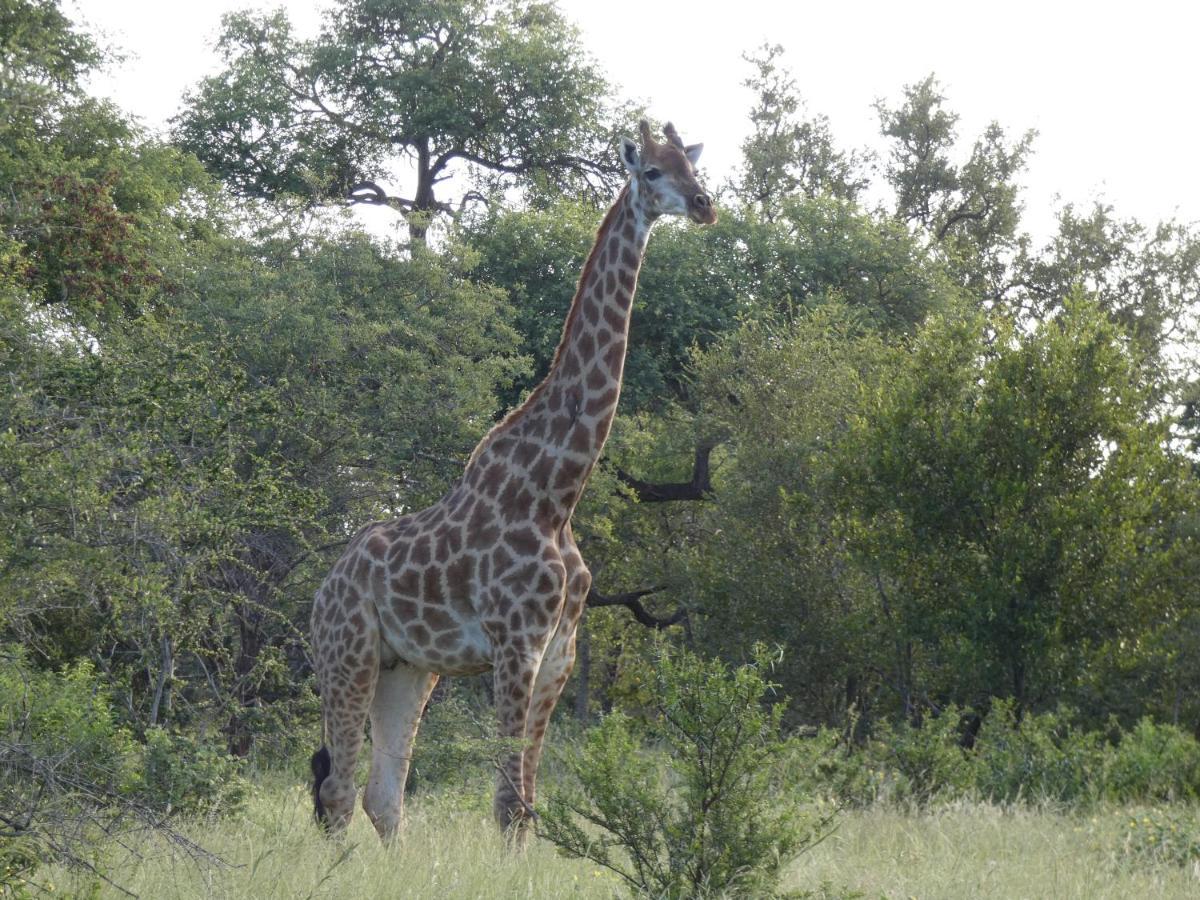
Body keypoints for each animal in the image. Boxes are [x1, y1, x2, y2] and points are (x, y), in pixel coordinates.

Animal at [309, 121, 715, 844]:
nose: (703, 205)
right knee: (335, 790)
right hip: (346, 656)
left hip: (407, 670)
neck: (557, 492)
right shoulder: (515, 641)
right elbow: (506, 806)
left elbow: (526, 804)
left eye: (692, 167)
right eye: (651, 173)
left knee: (383, 795)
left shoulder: (561, 649)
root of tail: (320, 593)